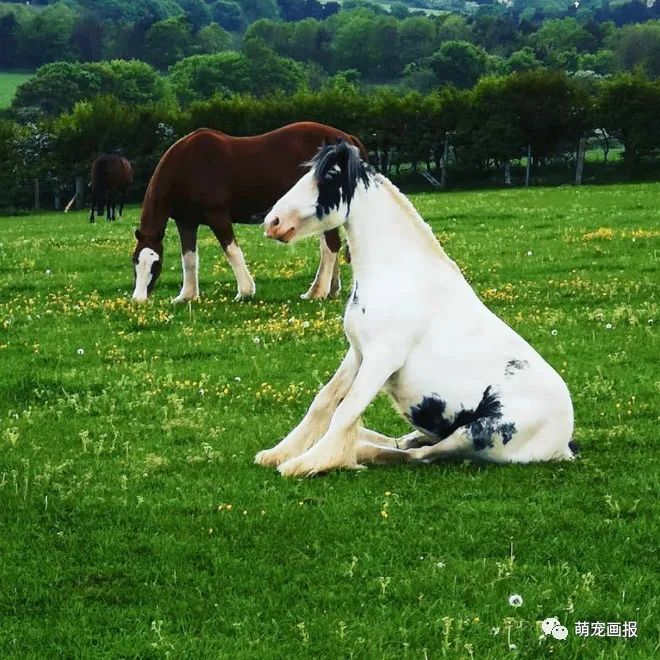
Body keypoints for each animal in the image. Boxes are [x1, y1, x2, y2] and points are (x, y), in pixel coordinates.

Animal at [129, 122, 366, 302]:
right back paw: (331, 290)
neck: (187, 166)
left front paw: (245, 291)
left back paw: (316, 292)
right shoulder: (186, 222)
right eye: (135, 261)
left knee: (330, 246)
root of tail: (348, 139)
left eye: (156, 264)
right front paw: (187, 296)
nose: (139, 299)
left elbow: (232, 251)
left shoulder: (218, 216)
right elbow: (189, 258)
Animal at [255, 142, 576, 476]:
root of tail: (563, 445)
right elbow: (324, 400)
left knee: (420, 454)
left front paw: (304, 463)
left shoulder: (382, 358)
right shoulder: (358, 353)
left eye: (330, 176)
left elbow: (346, 410)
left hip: (473, 435)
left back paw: (360, 450)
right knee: (406, 442)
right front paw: (277, 453)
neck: (400, 272)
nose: (273, 222)